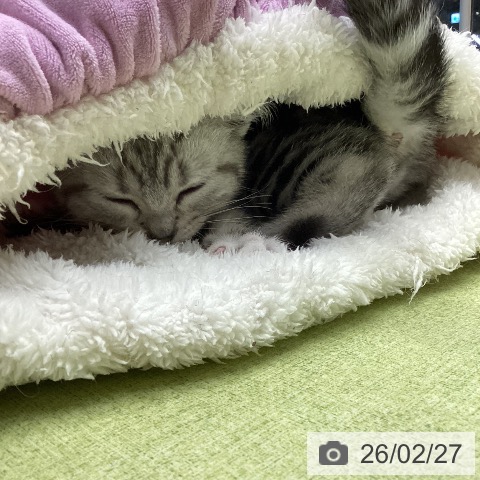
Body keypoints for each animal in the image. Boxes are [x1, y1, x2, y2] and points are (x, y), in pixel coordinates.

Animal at [40, 0, 448, 253]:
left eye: (191, 189)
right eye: (118, 200)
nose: (163, 234)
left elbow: (230, 212)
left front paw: (225, 233)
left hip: (295, 162)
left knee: (347, 187)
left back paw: (256, 241)